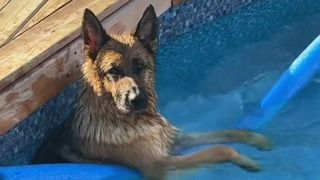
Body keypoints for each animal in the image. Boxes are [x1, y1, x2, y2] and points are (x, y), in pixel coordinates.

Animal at [33, 4, 272, 179]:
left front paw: (258, 139)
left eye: (140, 66)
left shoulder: (175, 139)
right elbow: (219, 149)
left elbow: (228, 132)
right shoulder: (159, 165)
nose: (136, 100)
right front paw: (245, 159)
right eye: (113, 71)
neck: (133, 121)